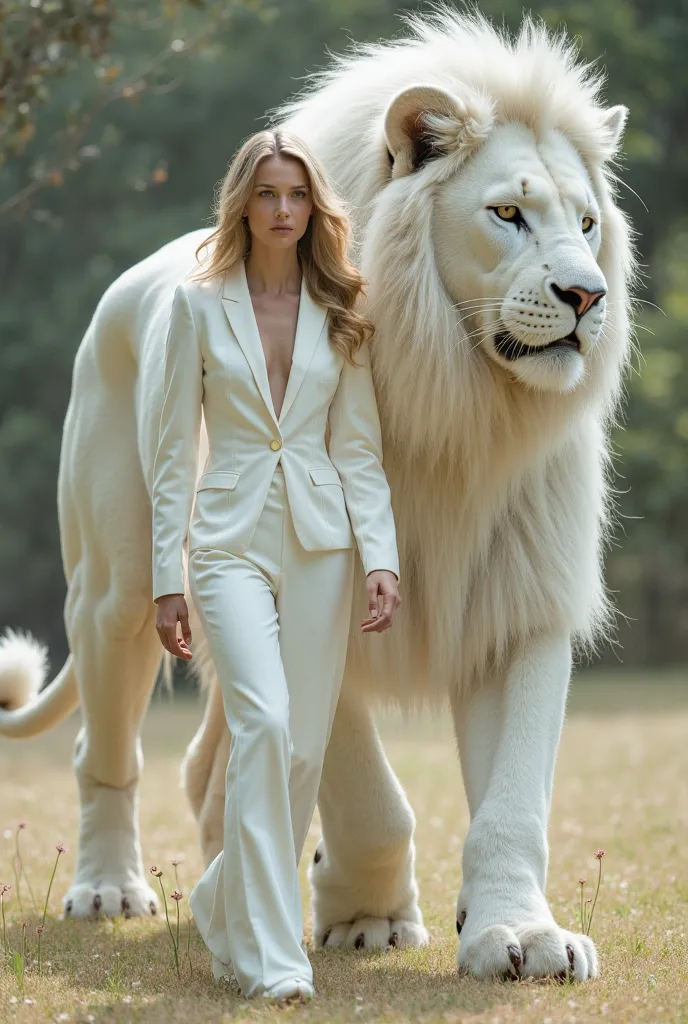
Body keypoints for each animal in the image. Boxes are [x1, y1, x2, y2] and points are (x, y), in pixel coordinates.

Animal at [0, 9, 634, 983]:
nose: (586, 294)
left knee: (206, 771)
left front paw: (520, 936)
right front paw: (367, 916)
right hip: (115, 594)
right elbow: (366, 793)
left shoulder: (519, 600)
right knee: (104, 753)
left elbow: (515, 799)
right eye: (508, 213)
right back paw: (111, 890)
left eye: (589, 223)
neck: (457, 411)